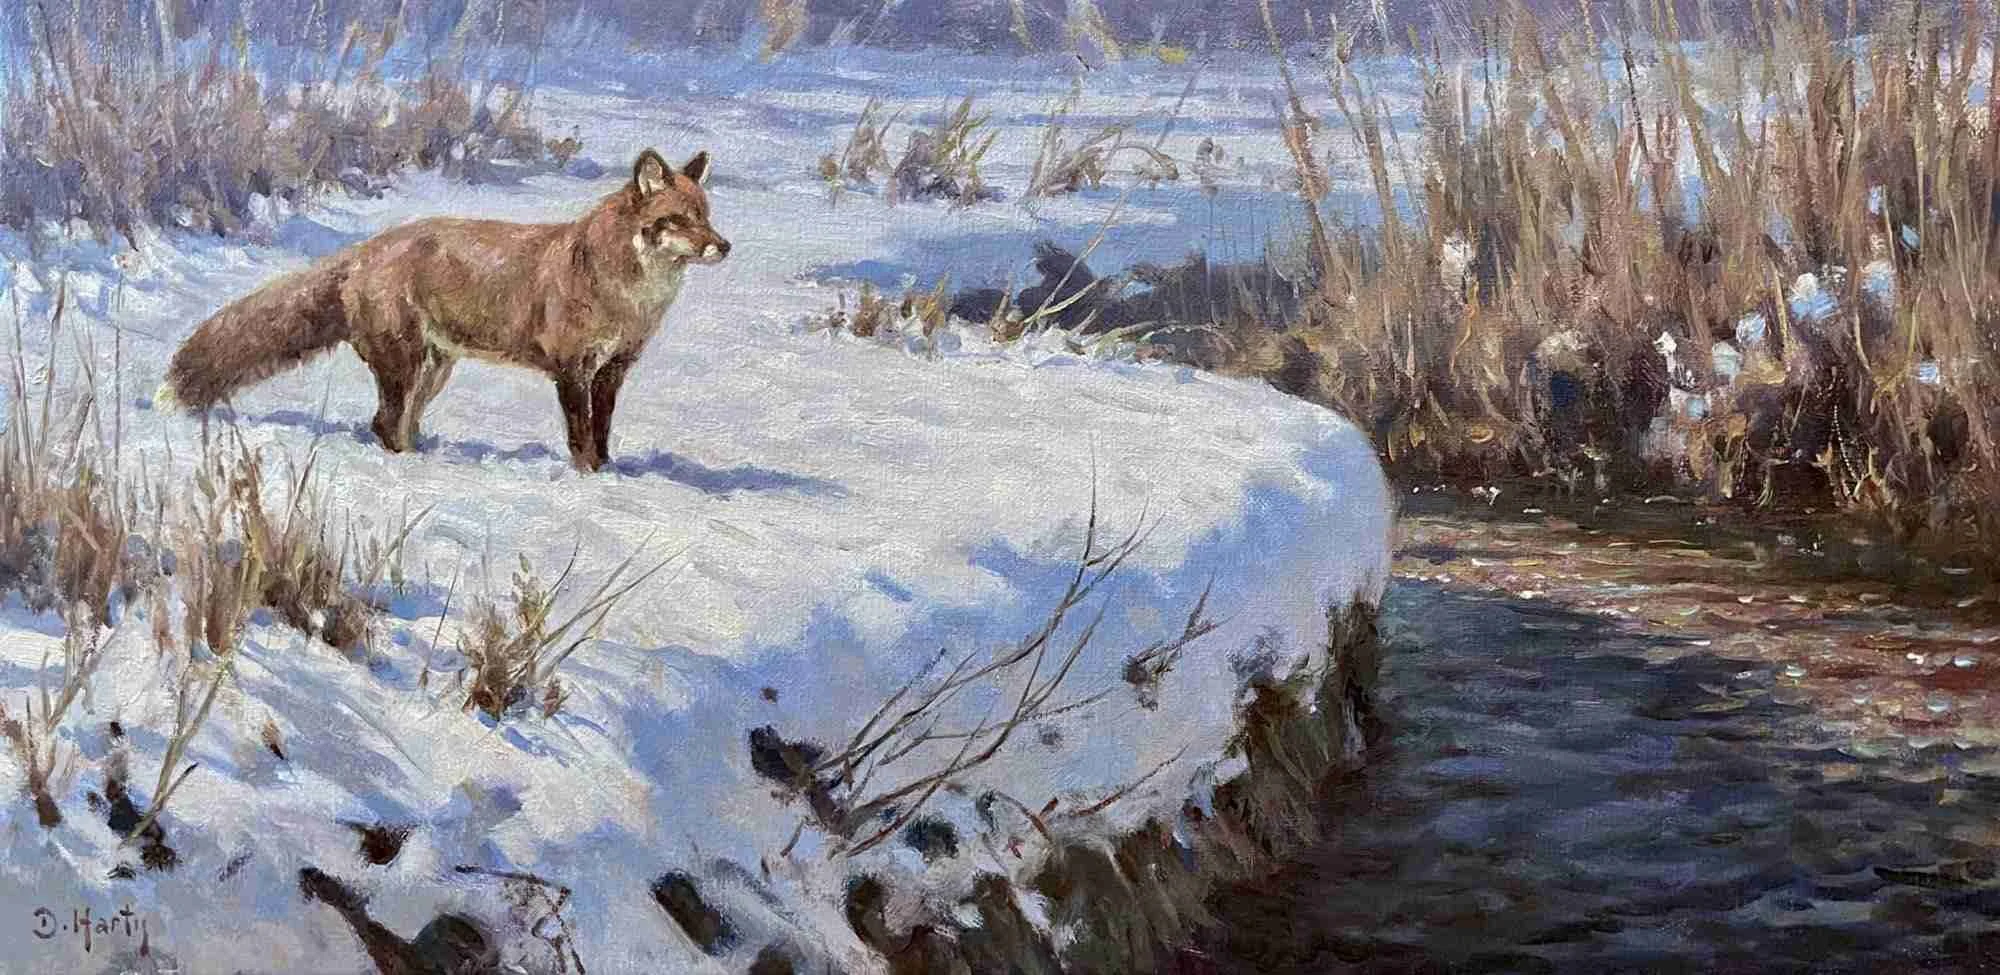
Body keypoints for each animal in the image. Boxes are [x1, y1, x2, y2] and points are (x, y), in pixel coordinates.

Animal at [156, 148, 731, 472]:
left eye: (706, 216)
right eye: (680, 220)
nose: (724, 247)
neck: (627, 294)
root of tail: (366, 249)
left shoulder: (613, 370)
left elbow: (603, 433)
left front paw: (609, 475)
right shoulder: (571, 370)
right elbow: (580, 437)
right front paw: (588, 479)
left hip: (434, 372)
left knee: (401, 426)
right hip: (406, 365)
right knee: (382, 424)